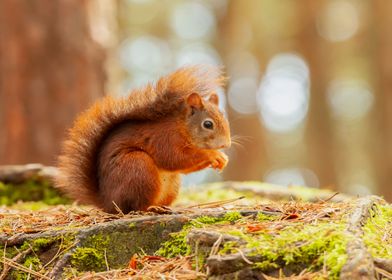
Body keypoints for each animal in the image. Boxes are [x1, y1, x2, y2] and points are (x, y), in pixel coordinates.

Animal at [56, 66, 231, 213]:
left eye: (225, 118)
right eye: (208, 124)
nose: (226, 144)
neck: (181, 126)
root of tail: (108, 202)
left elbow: (183, 167)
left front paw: (223, 159)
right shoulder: (163, 139)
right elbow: (174, 158)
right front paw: (213, 155)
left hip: (171, 184)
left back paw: (163, 207)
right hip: (138, 168)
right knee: (135, 206)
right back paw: (151, 208)